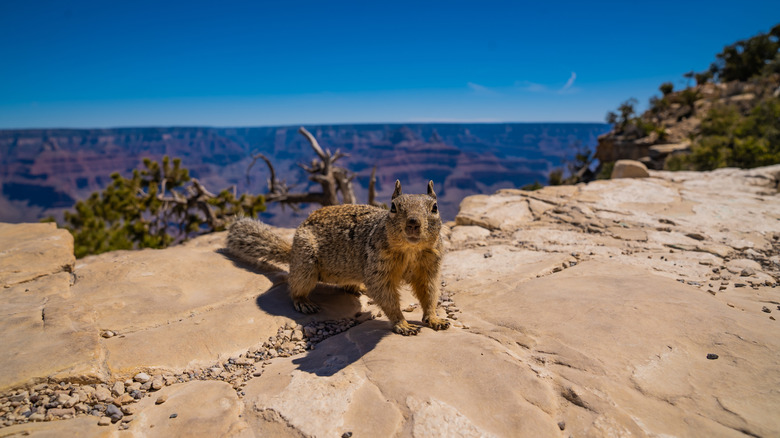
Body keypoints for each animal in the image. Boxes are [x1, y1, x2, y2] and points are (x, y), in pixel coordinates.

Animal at [226, 180, 450, 336]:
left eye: (435, 207)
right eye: (393, 207)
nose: (413, 222)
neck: (411, 250)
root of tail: (292, 251)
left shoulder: (430, 268)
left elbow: (430, 293)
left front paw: (435, 319)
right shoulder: (379, 270)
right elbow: (386, 296)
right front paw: (402, 324)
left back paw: (358, 287)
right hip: (305, 264)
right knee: (295, 287)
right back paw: (304, 302)